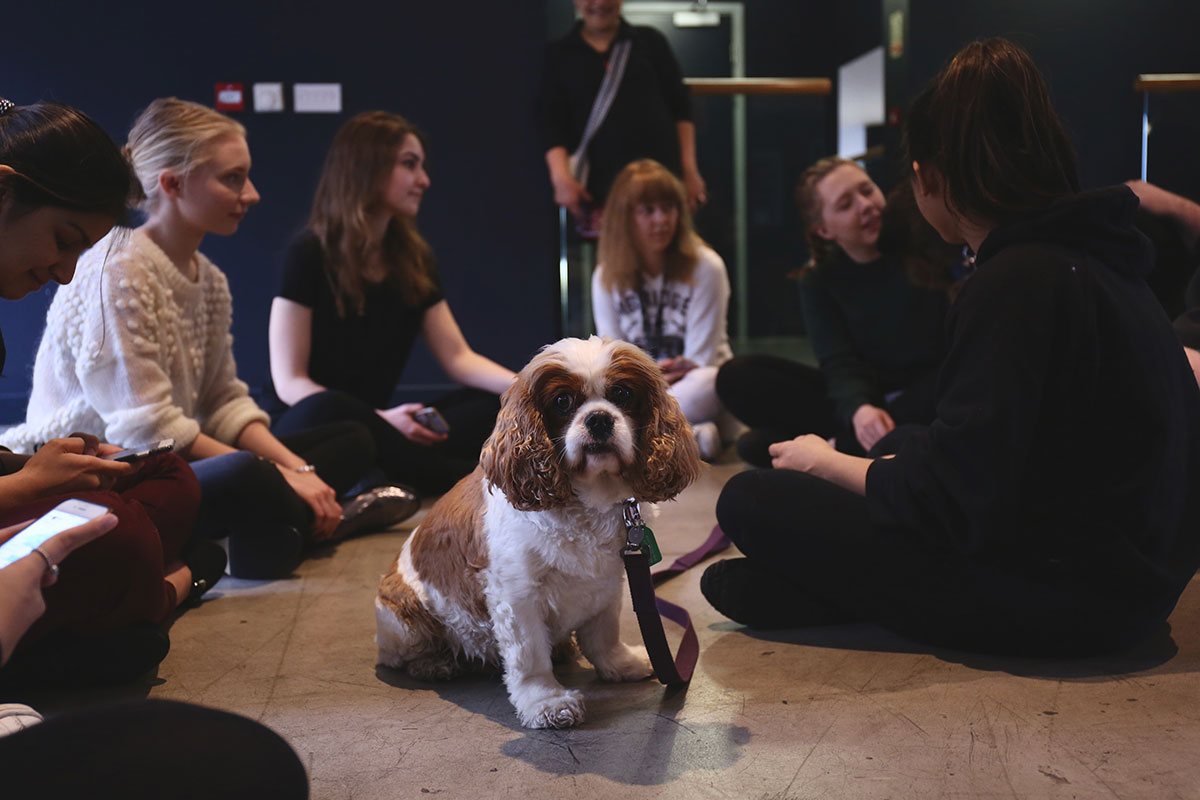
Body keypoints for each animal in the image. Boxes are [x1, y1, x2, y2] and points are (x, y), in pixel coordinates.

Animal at [375, 336, 701, 728]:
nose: (599, 418)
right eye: (562, 401)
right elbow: (530, 658)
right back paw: (435, 663)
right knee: (400, 658)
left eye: (622, 393)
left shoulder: (609, 582)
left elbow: (603, 635)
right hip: (404, 620)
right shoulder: (518, 597)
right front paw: (546, 702)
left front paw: (620, 664)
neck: (589, 499)